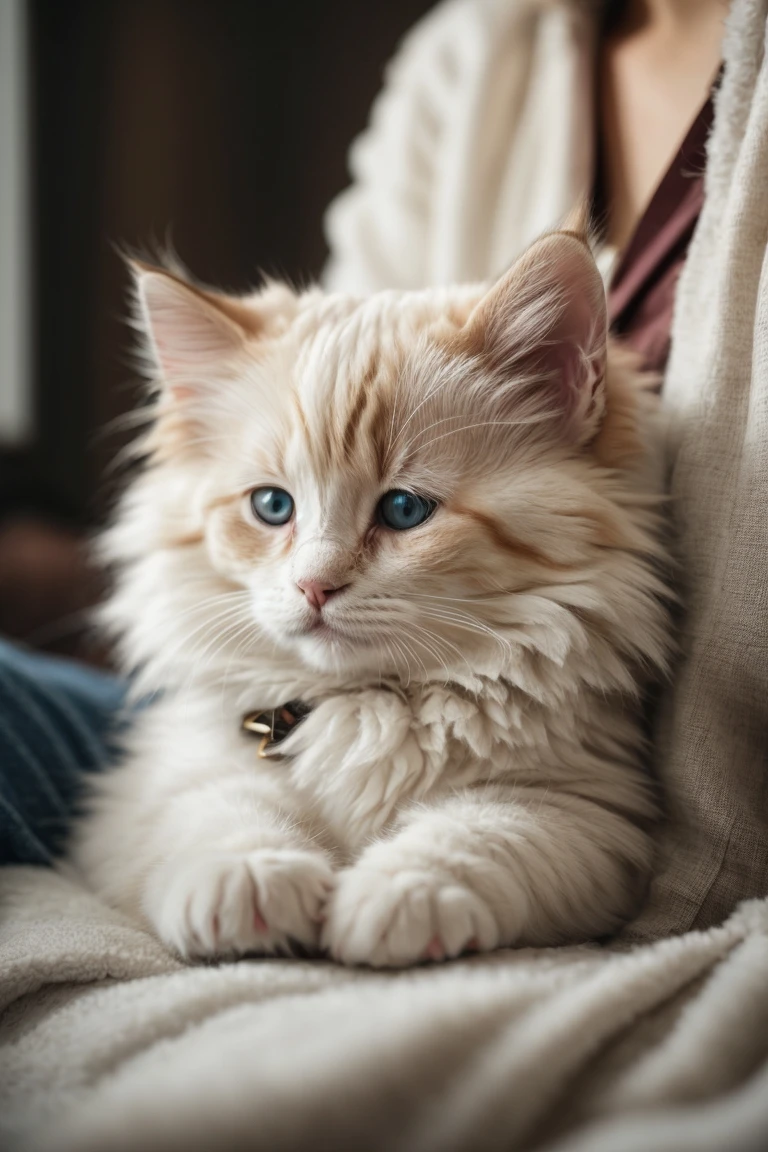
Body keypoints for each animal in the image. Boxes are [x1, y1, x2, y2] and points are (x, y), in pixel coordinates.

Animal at [71, 229, 672, 967]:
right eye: (272, 506)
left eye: (405, 510)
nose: (314, 585)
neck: (365, 704)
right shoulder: (161, 781)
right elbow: (224, 813)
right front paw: (252, 882)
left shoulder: (584, 807)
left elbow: (476, 833)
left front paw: (396, 897)